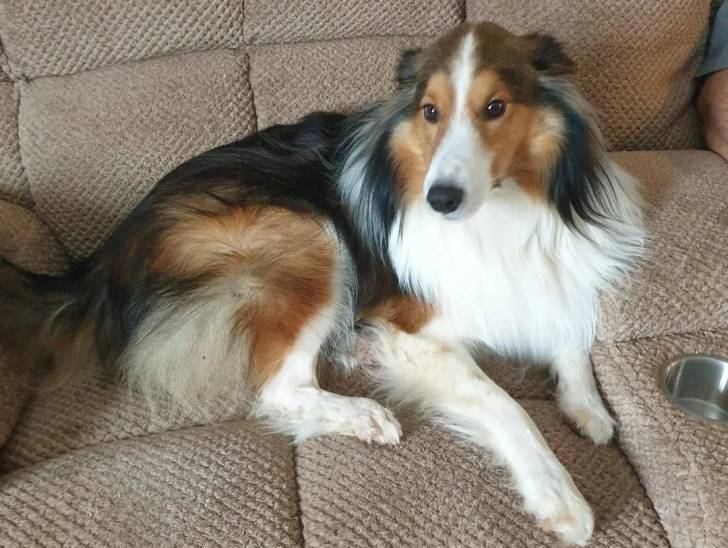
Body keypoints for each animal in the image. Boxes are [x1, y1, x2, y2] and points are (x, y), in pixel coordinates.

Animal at [0, 22, 644, 545]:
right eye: (430, 112)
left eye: (495, 106)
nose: (440, 199)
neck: (499, 214)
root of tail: (104, 254)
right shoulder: (412, 328)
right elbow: (504, 403)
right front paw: (558, 494)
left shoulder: (556, 270)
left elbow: (570, 329)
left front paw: (586, 406)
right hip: (307, 234)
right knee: (277, 389)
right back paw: (363, 413)